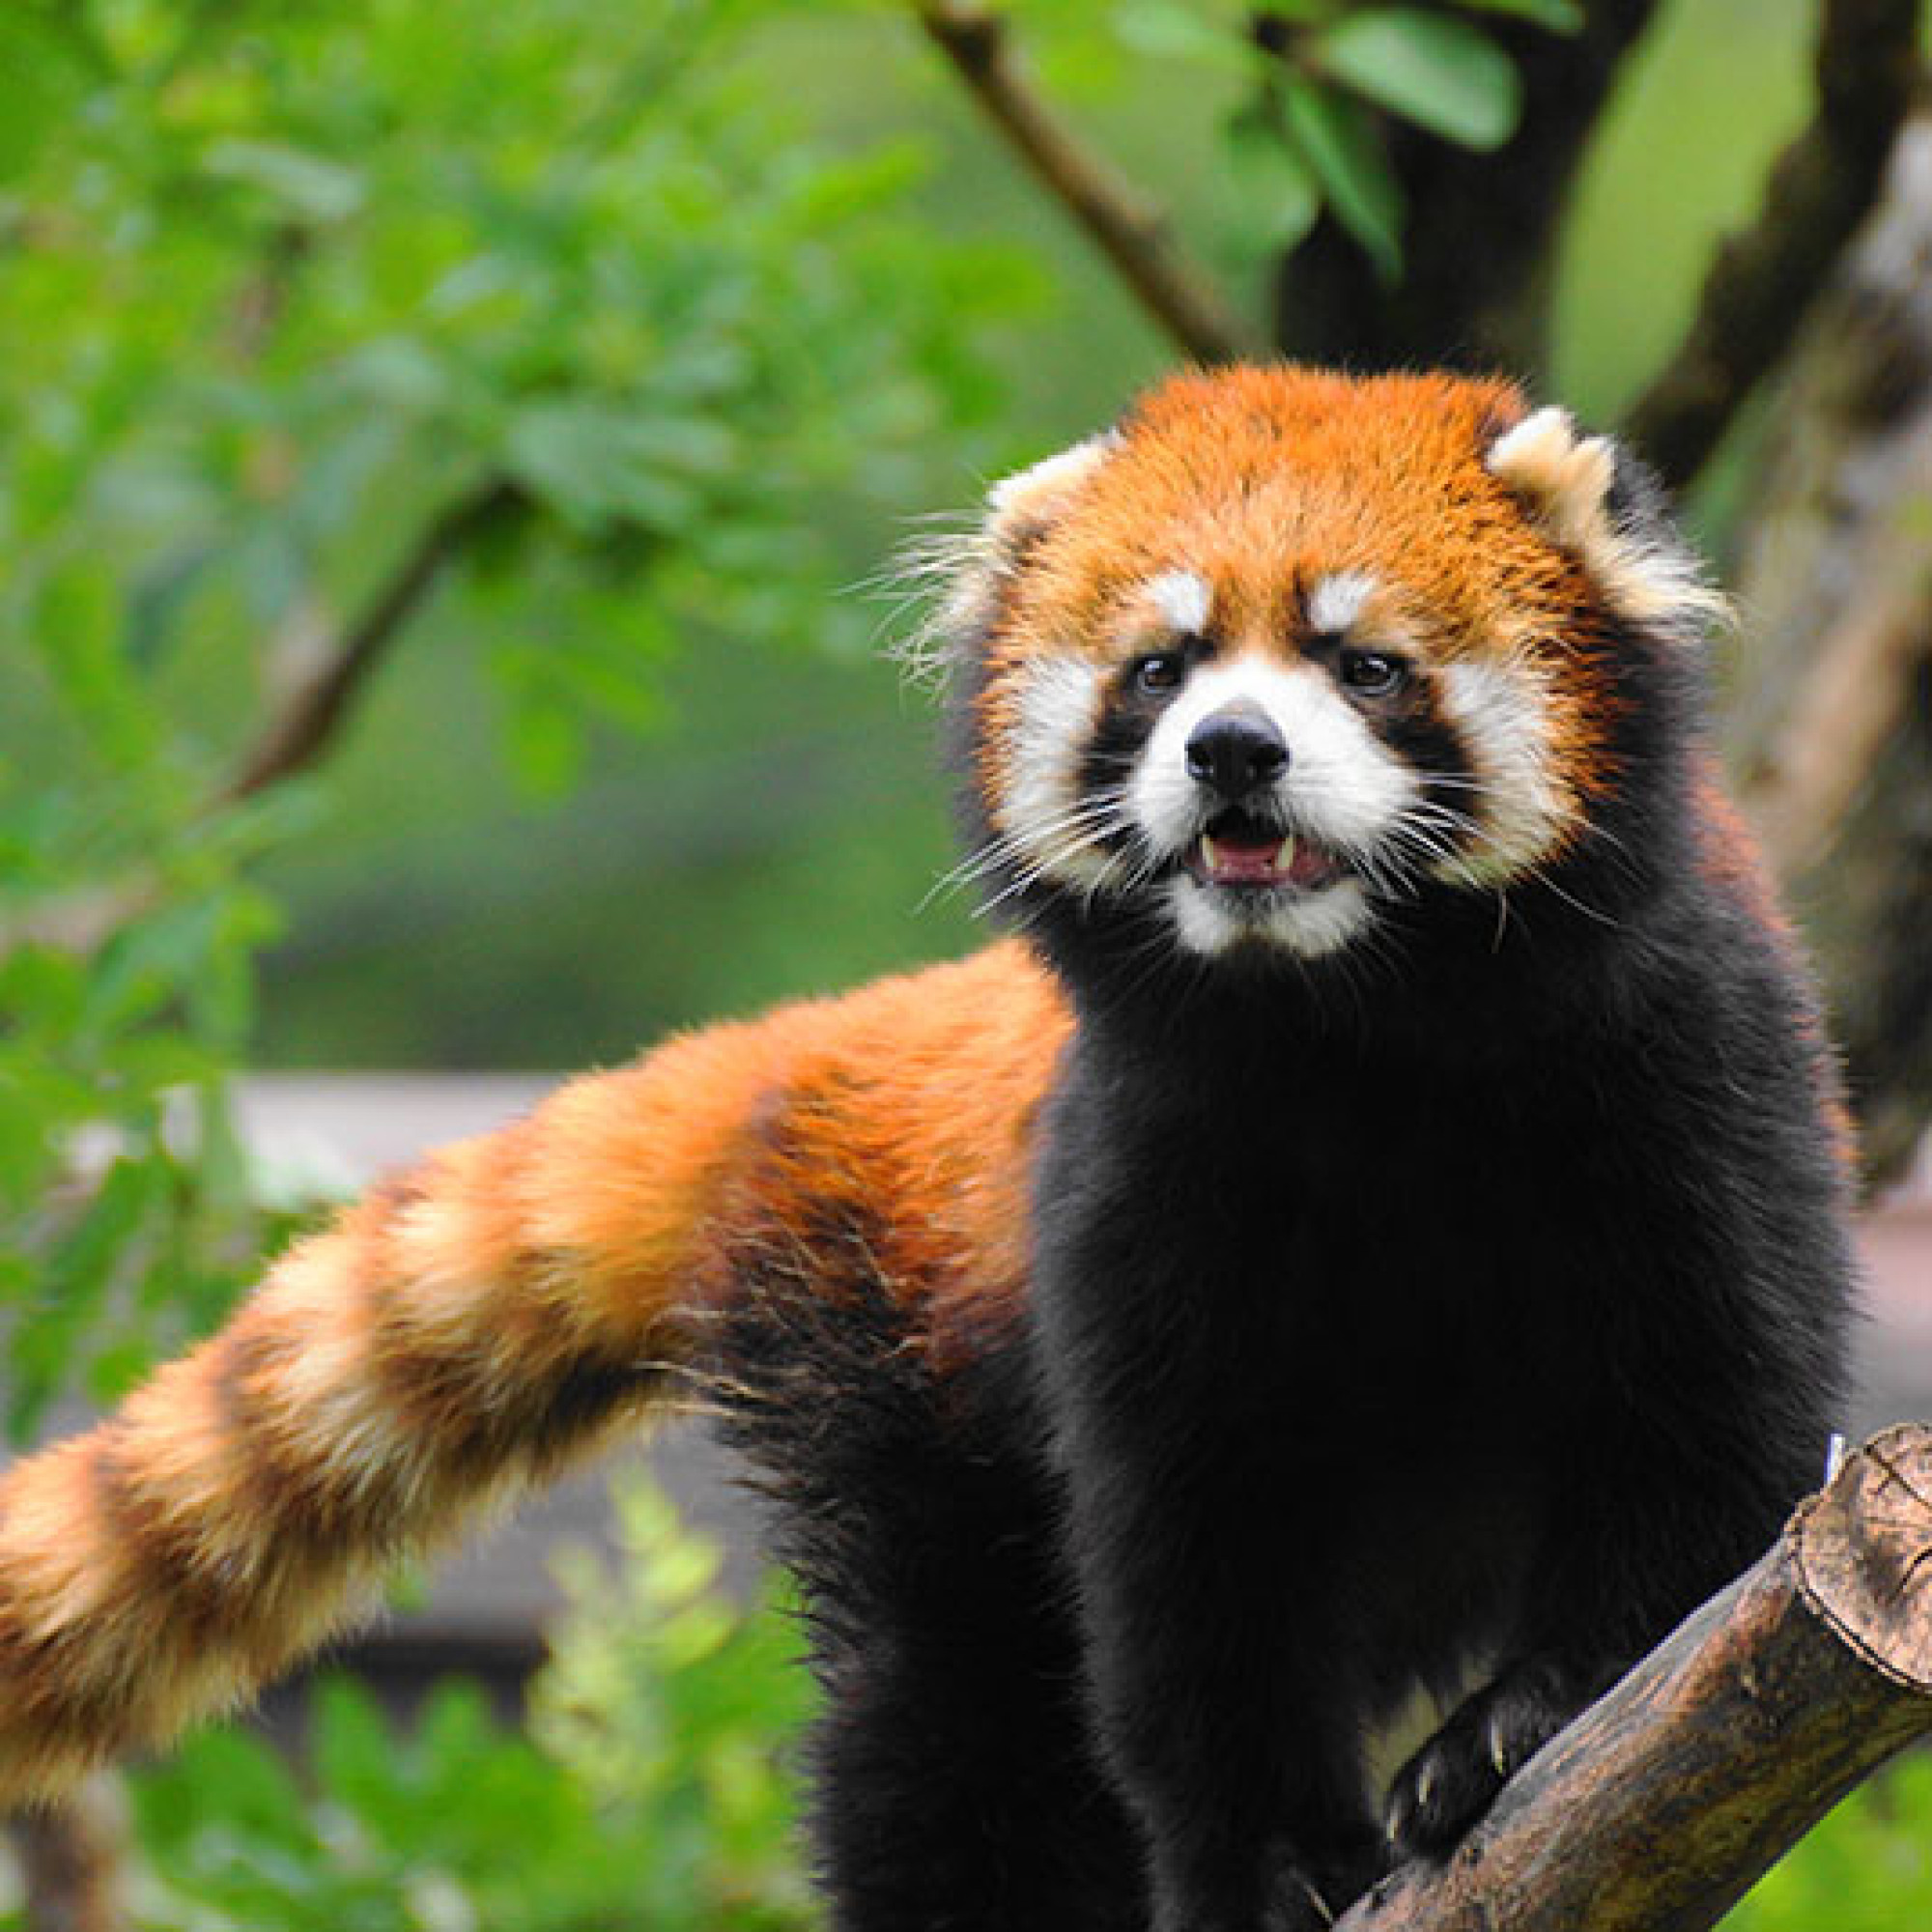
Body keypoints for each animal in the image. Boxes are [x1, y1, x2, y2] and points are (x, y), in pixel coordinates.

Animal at [0, 365, 1855, 1932]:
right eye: (1162, 668)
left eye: (1367, 663)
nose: (1233, 751)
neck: (1357, 1042)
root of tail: (840, 1031)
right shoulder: (1124, 1207)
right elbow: (1187, 1590)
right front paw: (1272, 1867)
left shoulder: (1696, 1081)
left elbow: (1715, 1449)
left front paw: (1522, 1722)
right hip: (885, 1352)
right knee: (954, 1713)